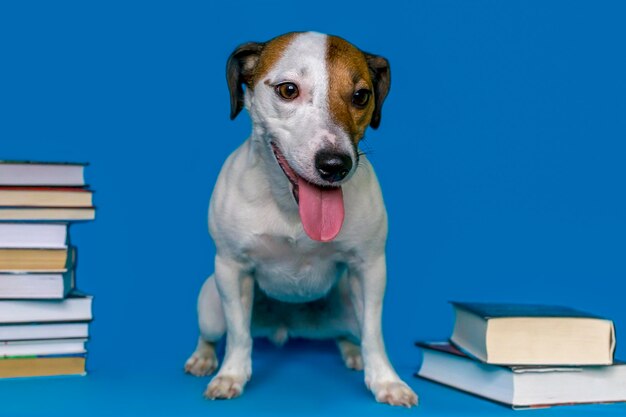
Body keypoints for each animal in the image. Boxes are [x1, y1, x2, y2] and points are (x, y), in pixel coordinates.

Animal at [185, 31, 416, 406]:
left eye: (361, 96)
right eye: (288, 90)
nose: (335, 165)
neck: (291, 209)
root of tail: (287, 323)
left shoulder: (369, 269)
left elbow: (374, 334)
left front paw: (386, 381)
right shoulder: (231, 269)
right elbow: (238, 334)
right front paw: (231, 374)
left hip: (348, 302)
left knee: (350, 333)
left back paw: (352, 352)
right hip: (210, 305)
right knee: (214, 333)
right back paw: (203, 358)